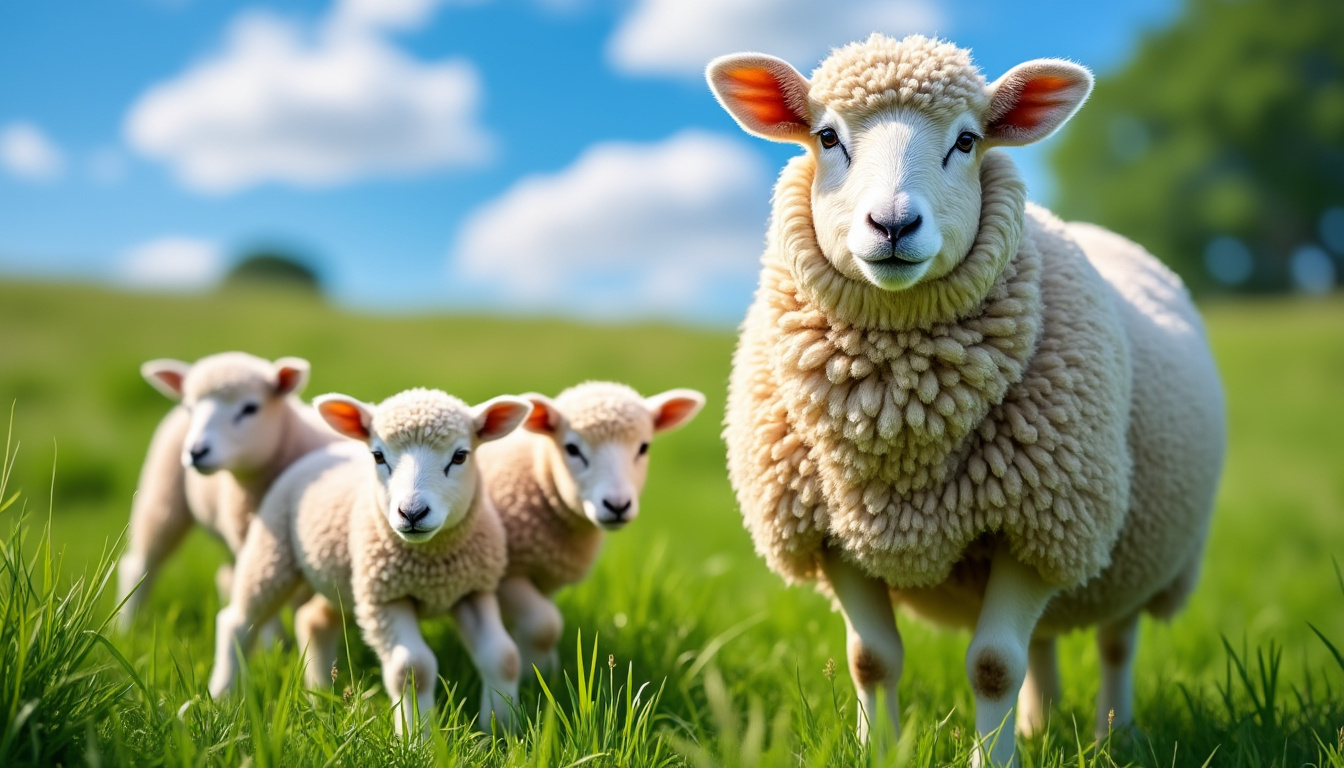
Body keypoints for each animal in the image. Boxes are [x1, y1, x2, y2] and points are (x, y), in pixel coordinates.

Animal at [116, 352, 339, 630]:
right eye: (190, 408)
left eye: (250, 408)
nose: (196, 451)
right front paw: (277, 643)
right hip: (162, 494)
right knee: (140, 566)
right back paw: (126, 629)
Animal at [207, 387, 533, 737]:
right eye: (378, 456)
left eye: (460, 456)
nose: (412, 513)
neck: (431, 566)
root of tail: (325, 451)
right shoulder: (383, 599)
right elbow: (412, 668)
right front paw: (416, 739)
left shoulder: (473, 590)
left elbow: (504, 657)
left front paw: (503, 729)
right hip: (272, 554)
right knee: (237, 622)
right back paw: (222, 698)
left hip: (343, 580)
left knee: (313, 620)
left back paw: (319, 696)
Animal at [474, 382, 705, 673]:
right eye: (572, 449)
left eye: (643, 447)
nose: (617, 505)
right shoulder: (506, 572)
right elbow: (545, 624)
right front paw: (534, 674)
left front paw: (543, 669)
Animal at [708, 34, 1225, 765]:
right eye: (827, 136)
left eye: (968, 140)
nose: (893, 224)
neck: (897, 409)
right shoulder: (828, 528)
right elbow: (872, 659)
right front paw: (880, 750)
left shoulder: (1040, 521)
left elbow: (992, 665)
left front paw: (992, 757)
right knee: (1044, 642)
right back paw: (1039, 727)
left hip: (1141, 554)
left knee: (1115, 643)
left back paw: (1114, 734)